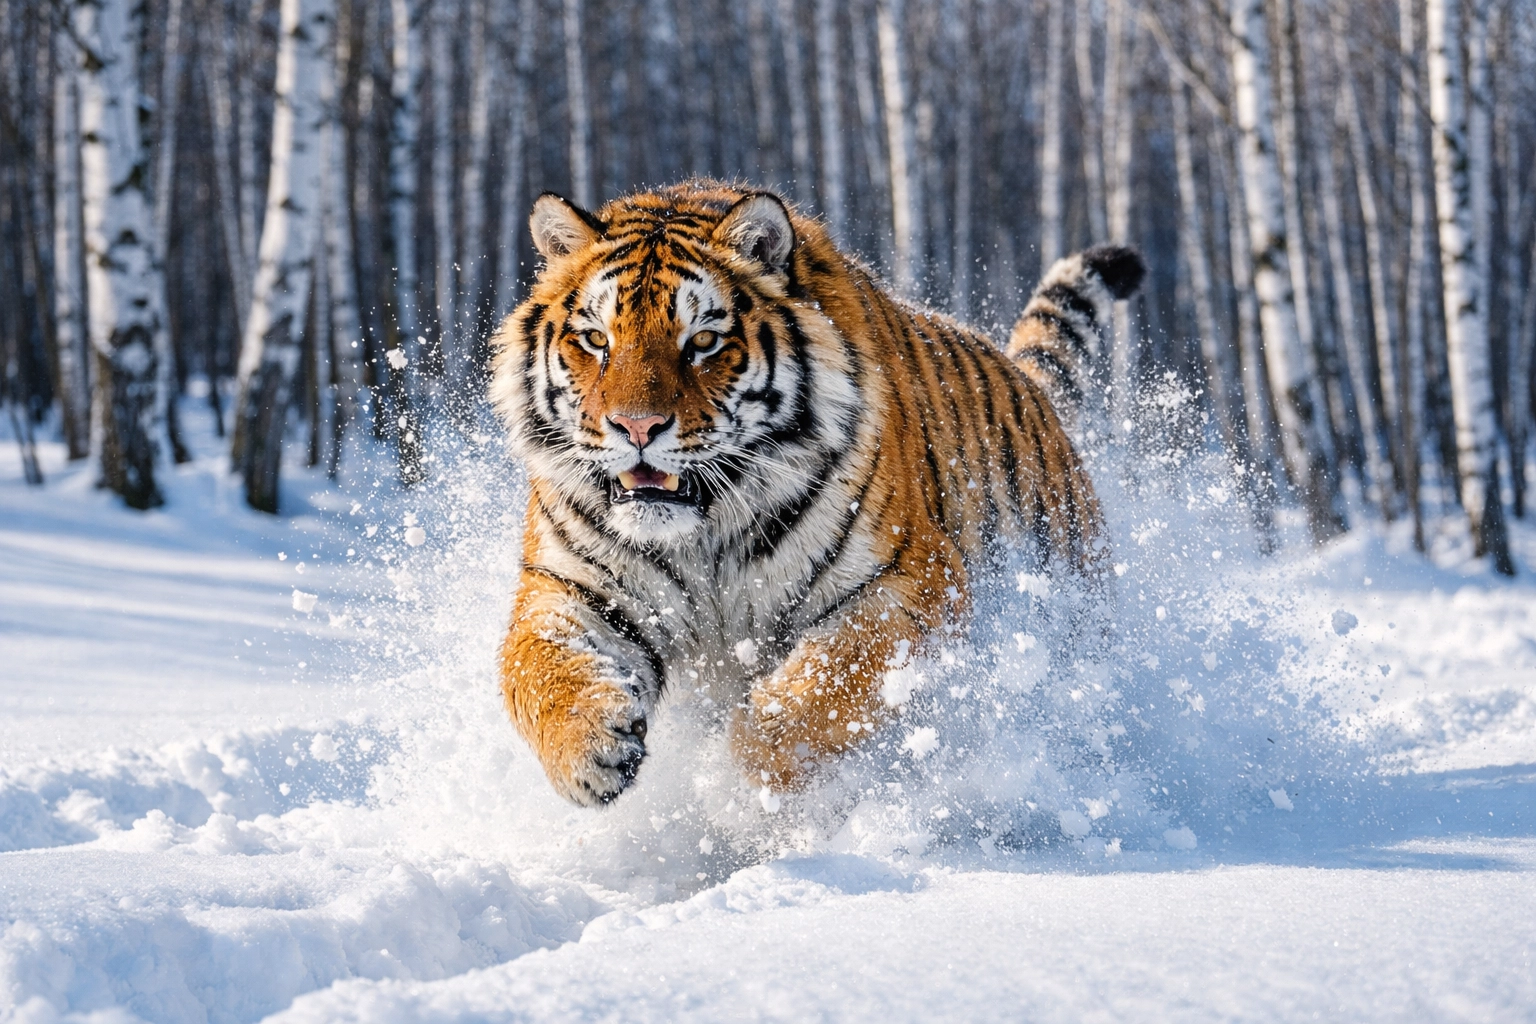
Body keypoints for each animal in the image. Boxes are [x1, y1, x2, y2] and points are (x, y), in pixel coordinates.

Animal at [490, 180, 1144, 807]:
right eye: (596, 340)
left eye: (702, 342)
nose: (636, 427)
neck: (703, 534)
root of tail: (1028, 384)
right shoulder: (571, 587)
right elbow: (537, 666)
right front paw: (590, 750)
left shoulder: (907, 579)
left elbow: (820, 693)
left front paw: (741, 789)